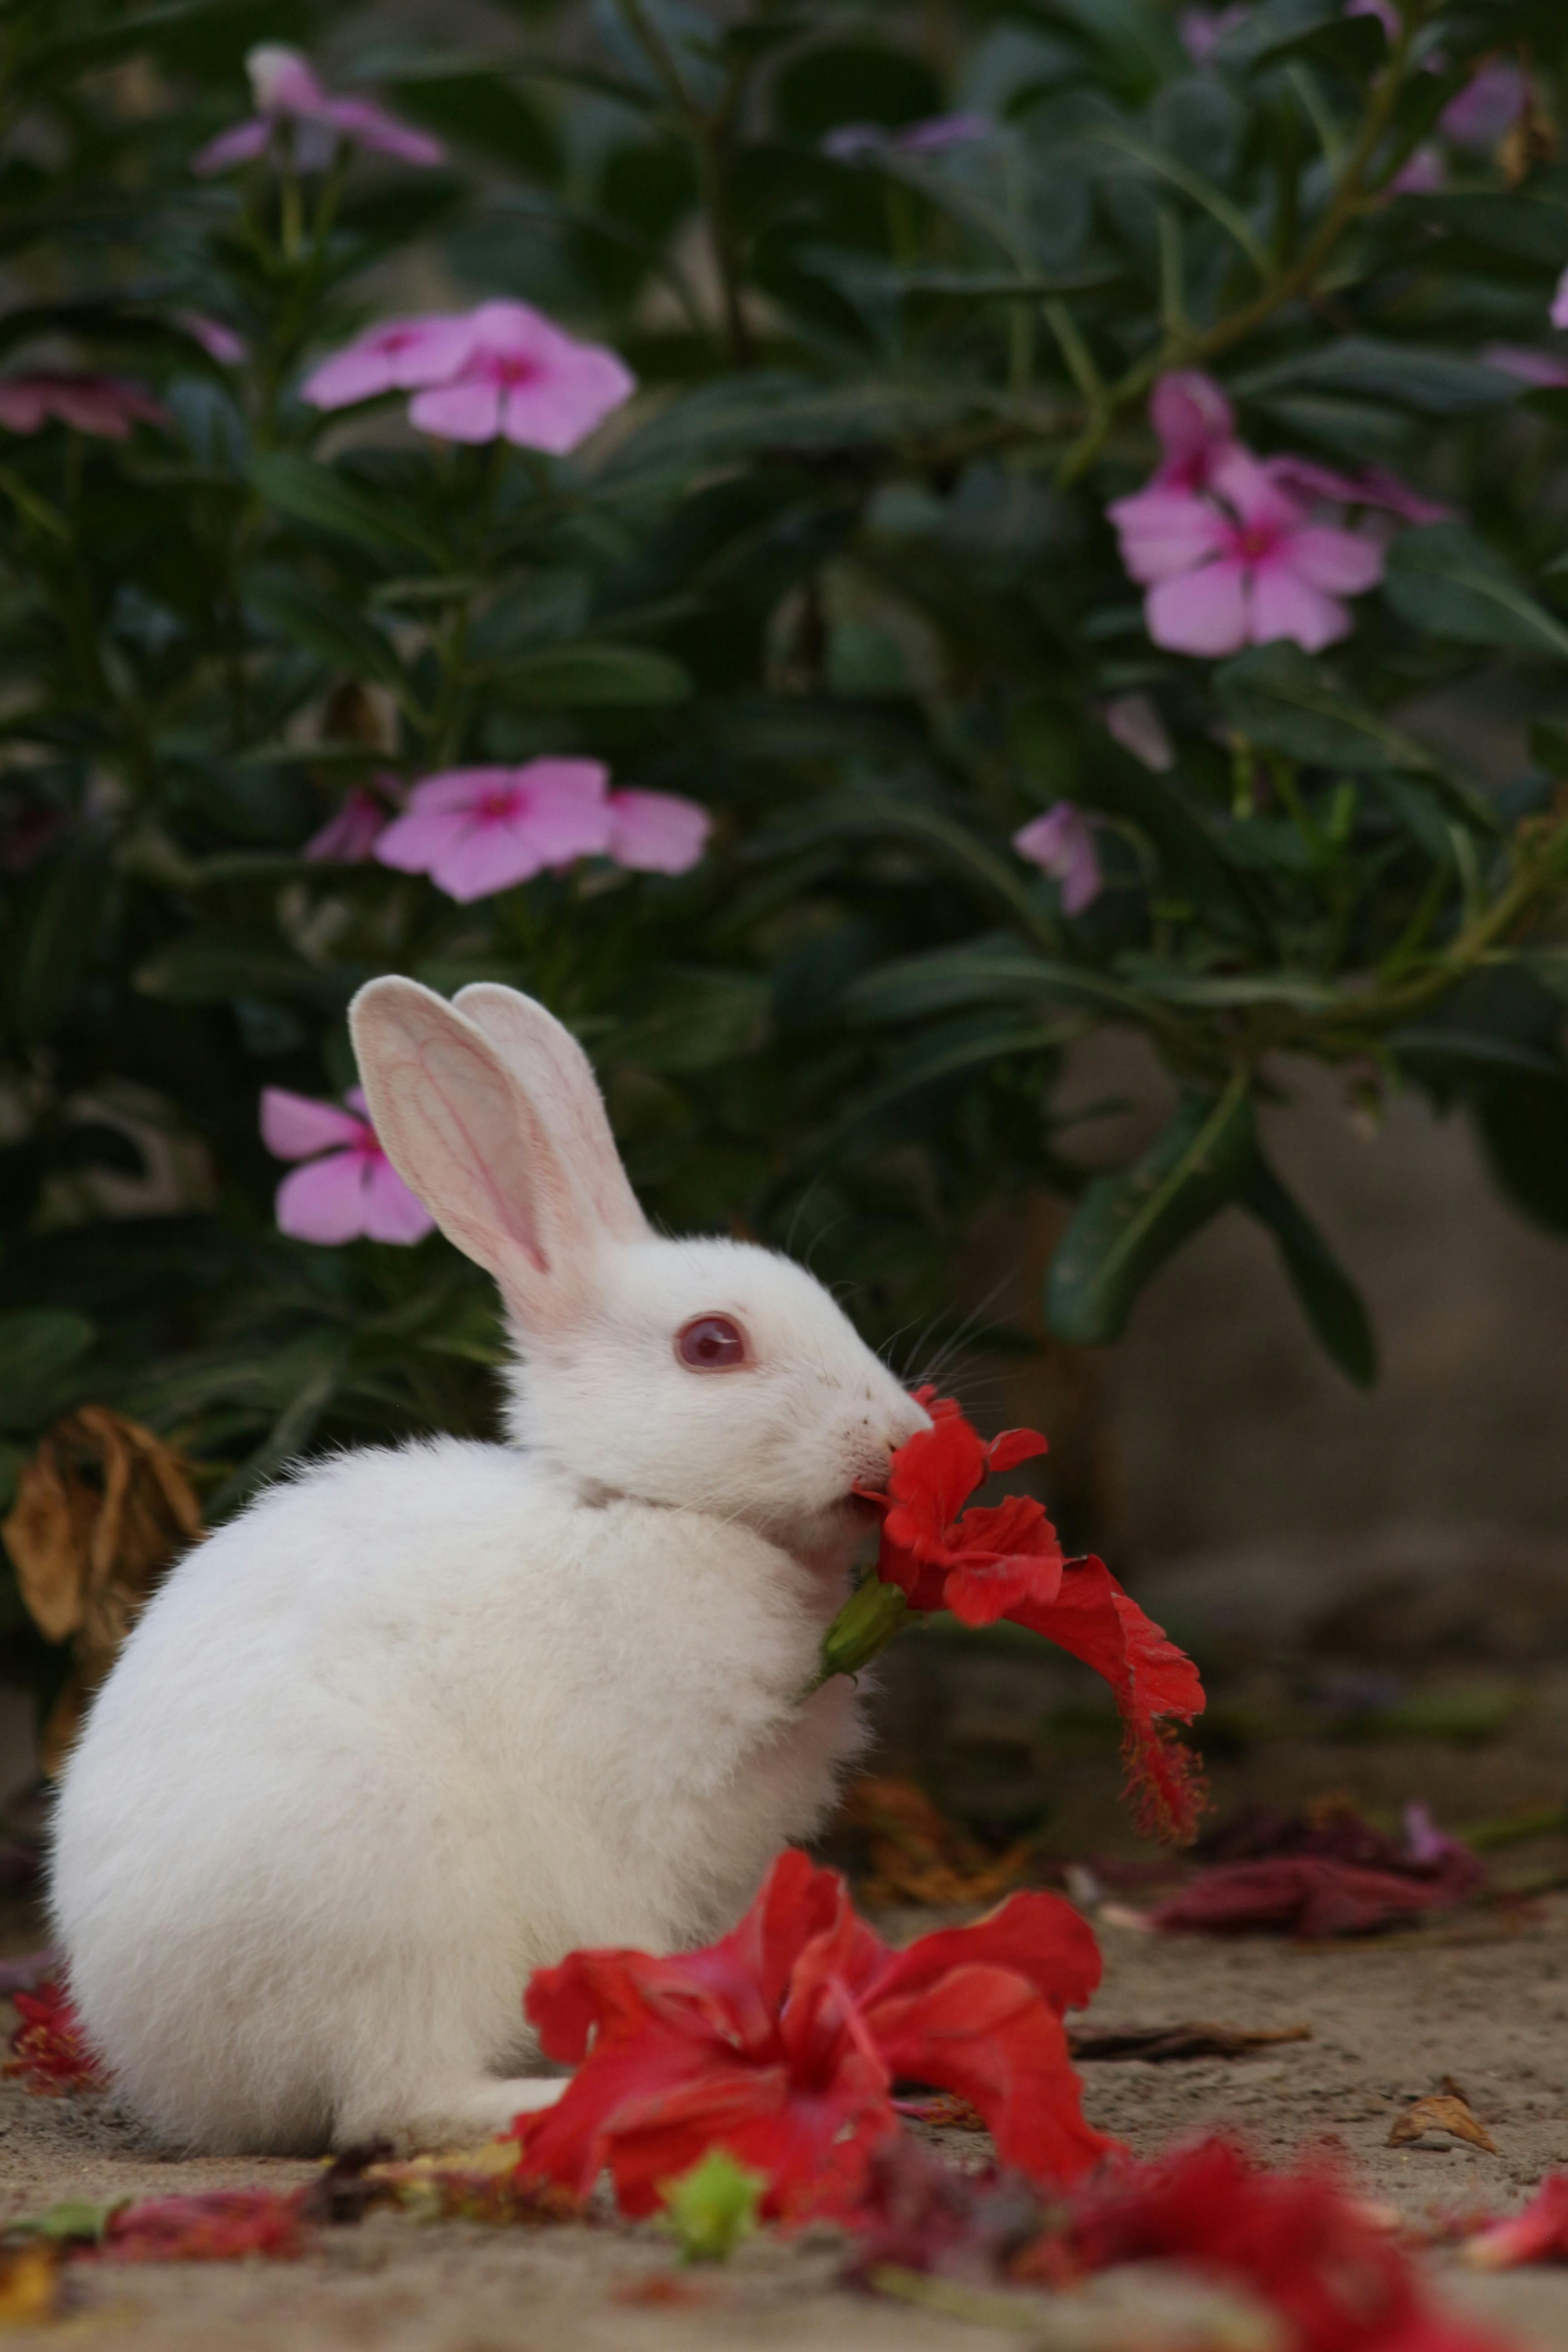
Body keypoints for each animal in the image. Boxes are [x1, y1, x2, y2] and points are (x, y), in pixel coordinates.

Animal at [49, 974, 931, 2154]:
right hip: (391, 1898)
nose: (902, 1438)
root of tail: (183, 2082)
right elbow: (633, 1946)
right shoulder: (629, 1831)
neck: (639, 1507)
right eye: (712, 1344)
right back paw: (569, 2099)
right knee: (395, 2100)